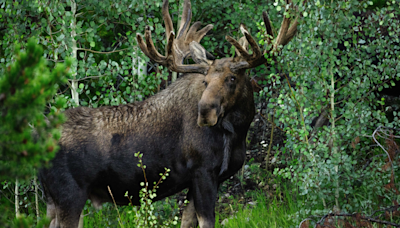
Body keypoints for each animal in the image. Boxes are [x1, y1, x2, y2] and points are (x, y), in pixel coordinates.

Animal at [39, 0, 298, 226]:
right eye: (205, 81)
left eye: (232, 78)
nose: (205, 113)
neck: (237, 132)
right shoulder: (203, 172)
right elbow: (206, 222)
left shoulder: (200, 180)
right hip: (70, 195)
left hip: (54, 200)